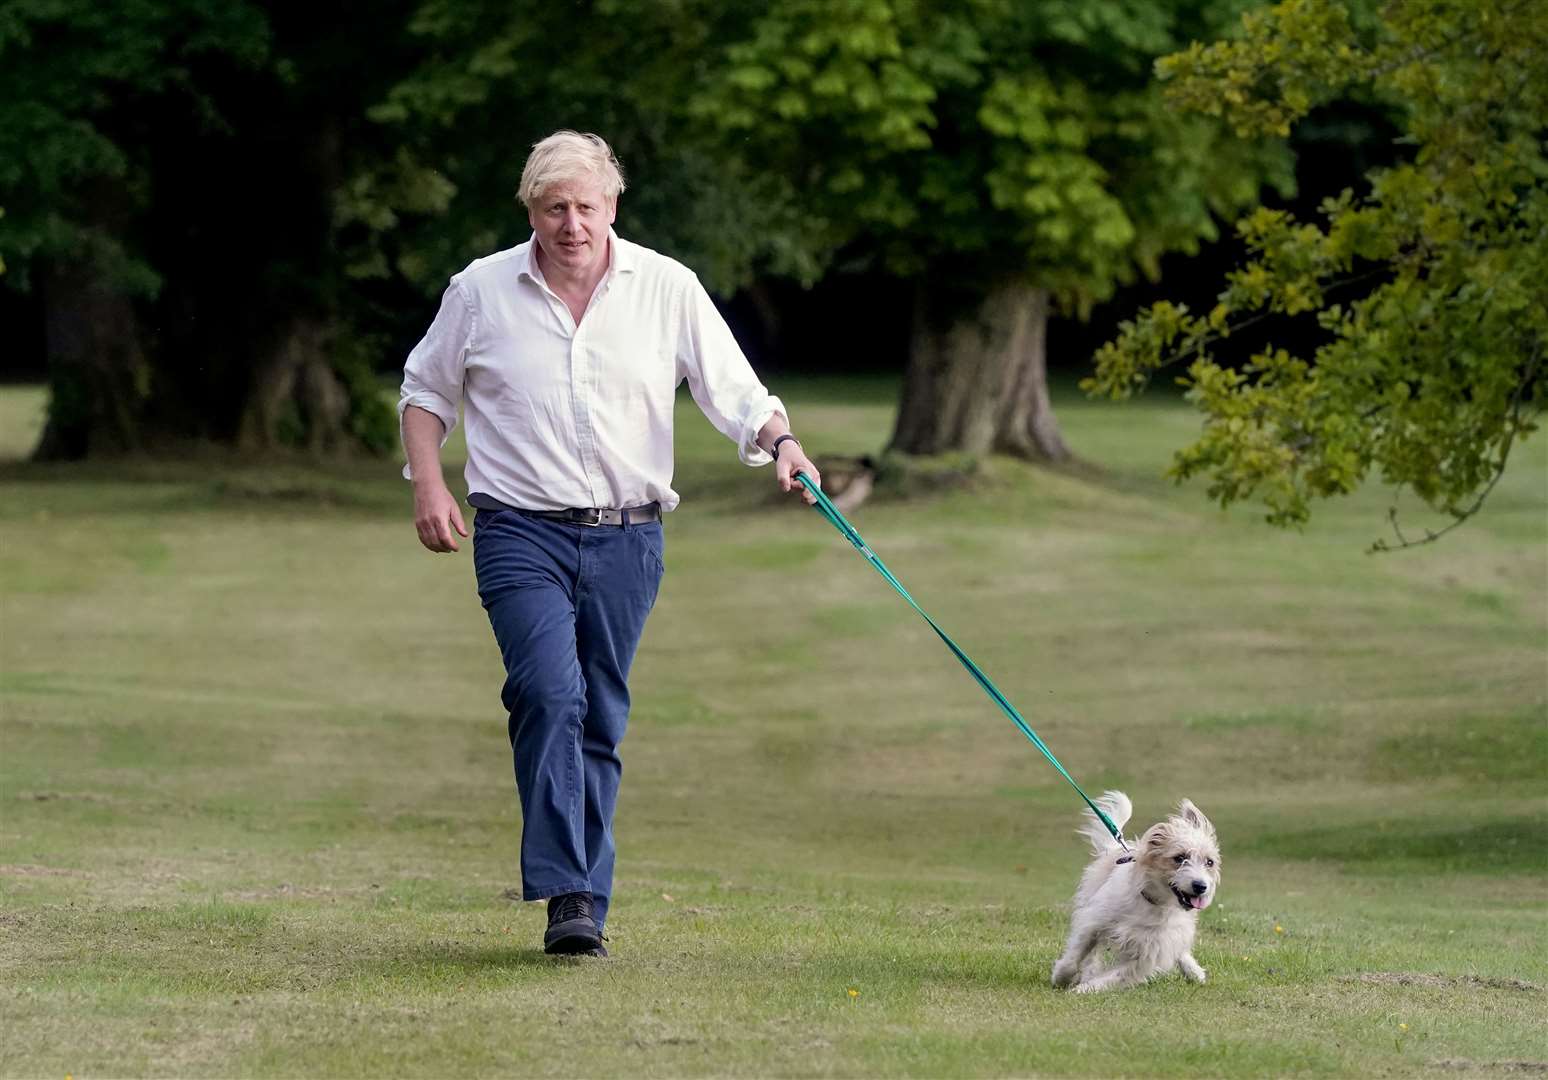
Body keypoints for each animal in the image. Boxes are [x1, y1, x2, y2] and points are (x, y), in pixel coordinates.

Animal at [1052, 786, 1219, 990]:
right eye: (1179, 858)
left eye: (1209, 862)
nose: (1201, 886)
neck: (1151, 902)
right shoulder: (1094, 922)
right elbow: (1075, 956)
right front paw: (1061, 977)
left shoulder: (1146, 956)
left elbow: (1113, 976)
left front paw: (1083, 989)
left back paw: (1193, 971)